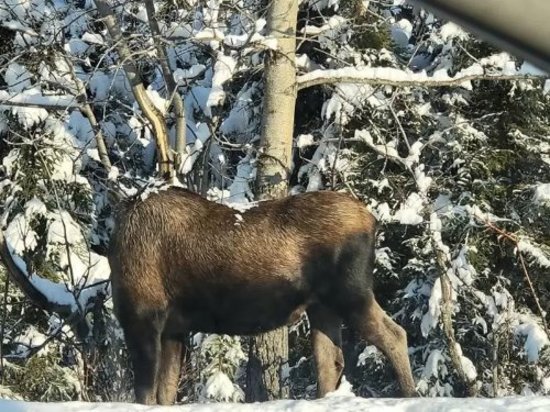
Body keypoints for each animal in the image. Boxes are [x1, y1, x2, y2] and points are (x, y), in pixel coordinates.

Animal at [109, 187, 418, 406]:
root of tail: (372, 220)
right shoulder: (174, 329)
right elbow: (166, 392)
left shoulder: (142, 317)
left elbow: (146, 392)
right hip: (322, 307)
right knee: (330, 361)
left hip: (350, 292)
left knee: (395, 334)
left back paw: (410, 394)